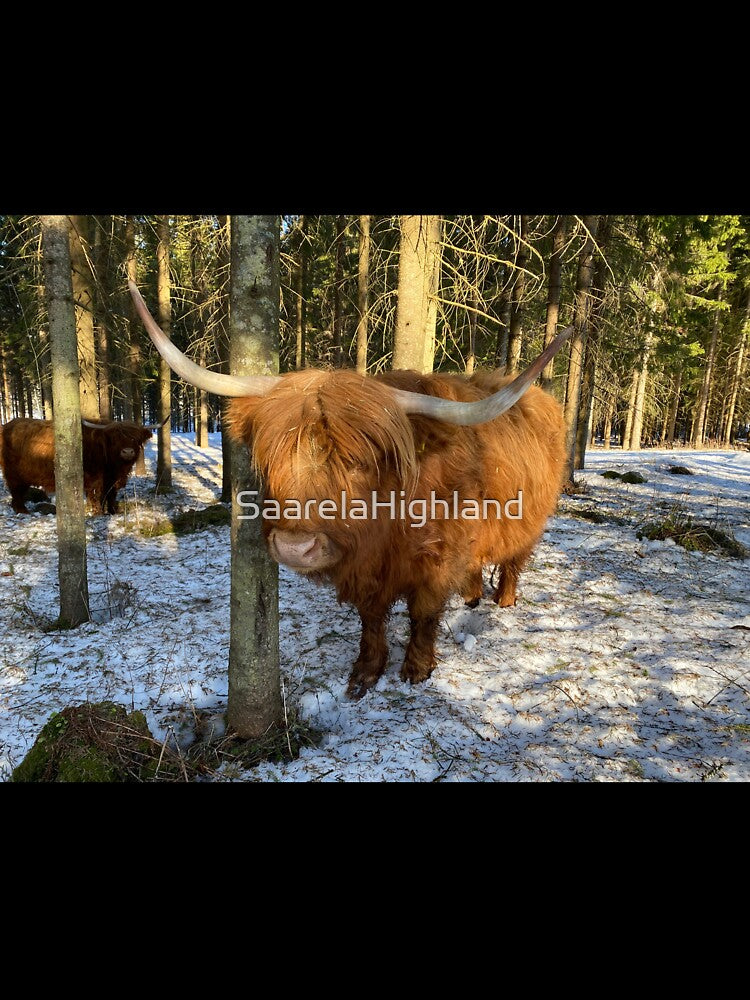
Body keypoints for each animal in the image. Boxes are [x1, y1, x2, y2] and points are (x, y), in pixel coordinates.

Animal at [0, 415, 159, 515]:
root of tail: (6, 426)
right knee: (16, 491)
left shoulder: (112, 480)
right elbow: (96, 495)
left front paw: (112, 511)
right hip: (13, 473)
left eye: (136, 438)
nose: (127, 451)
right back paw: (23, 511)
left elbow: (111, 495)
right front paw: (98, 513)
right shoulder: (94, 478)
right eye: (114, 439)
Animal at [130, 280, 570, 698]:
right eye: (274, 458)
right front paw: (367, 671)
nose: (294, 548)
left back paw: (503, 599)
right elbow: (371, 618)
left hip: (530, 519)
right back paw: (472, 596)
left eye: (357, 461)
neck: (390, 524)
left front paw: (416, 669)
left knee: (514, 559)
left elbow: (423, 614)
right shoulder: (367, 569)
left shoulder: (439, 557)